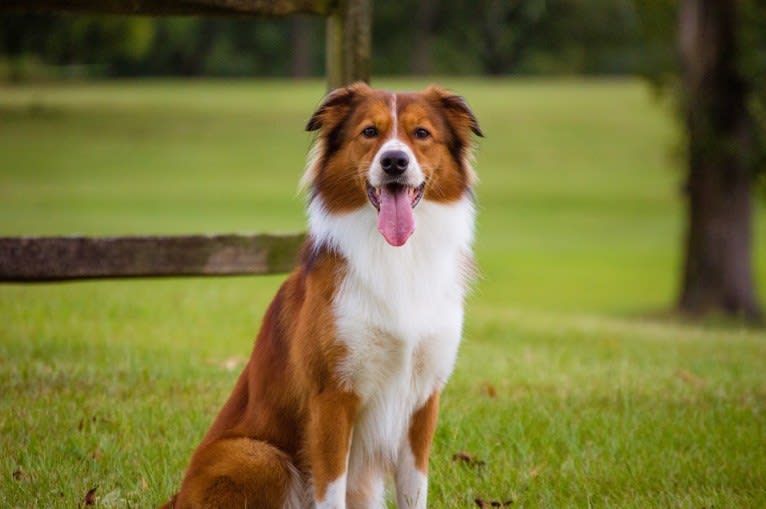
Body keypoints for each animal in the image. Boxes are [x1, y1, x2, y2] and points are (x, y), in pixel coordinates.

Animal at [164, 83, 484, 508]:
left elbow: (414, 492)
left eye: (421, 133)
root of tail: (177, 498)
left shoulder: (423, 399)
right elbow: (331, 491)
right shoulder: (332, 397)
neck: (396, 256)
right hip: (258, 455)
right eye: (369, 132)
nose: (394, 162)